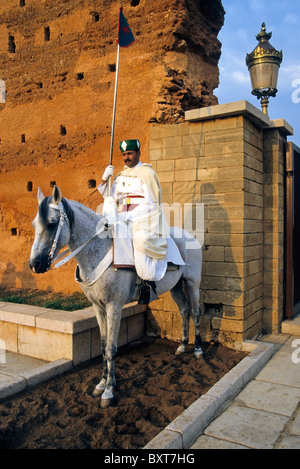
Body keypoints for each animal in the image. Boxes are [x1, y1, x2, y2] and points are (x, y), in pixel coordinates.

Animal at [29, 186, 203, 406]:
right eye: (35, 224)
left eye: (52, 223)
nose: (35, 264)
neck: (100, 253)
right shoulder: (98, 307)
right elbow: (103, 346)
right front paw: (102, 383)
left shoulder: (114, 306)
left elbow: (112, 348)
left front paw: (109, 391)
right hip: (176, 287)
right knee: (184, 311)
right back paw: (182, 346)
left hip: (192, 283)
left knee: (195, 312)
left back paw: (198, 349)